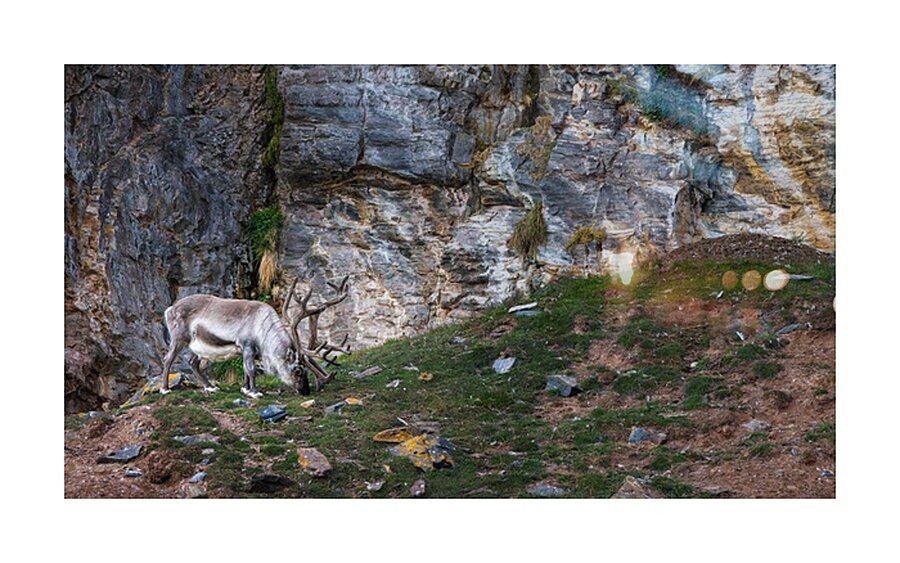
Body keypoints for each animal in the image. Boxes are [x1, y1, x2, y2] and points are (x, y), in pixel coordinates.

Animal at [158, 275, 351, 399]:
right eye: (297, 370)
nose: (305, 391)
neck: (264, 330)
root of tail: (169, 309)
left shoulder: (248, 352)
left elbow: (246, 371)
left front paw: (245, 389)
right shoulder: (247, 346)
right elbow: (251, 370)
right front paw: (255, 392)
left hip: (199, 347)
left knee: (193, 363)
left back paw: (211, 387)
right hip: (179, 338)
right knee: (168, 359)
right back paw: (165, 388)